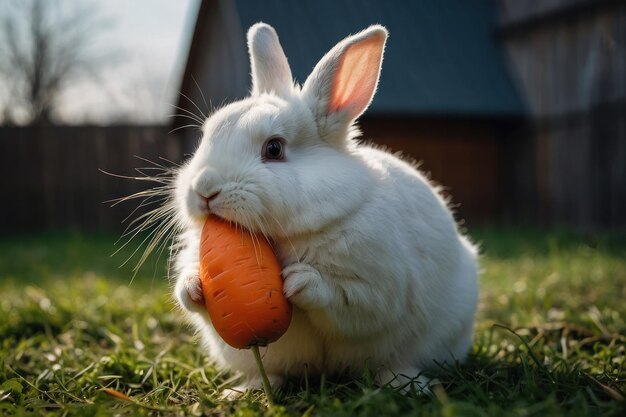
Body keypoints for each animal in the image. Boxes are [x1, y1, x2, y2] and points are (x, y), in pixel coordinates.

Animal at [172, 22, 478, 394]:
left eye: (274, 149)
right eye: (207, 136)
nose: (204, 189)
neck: (282, 240)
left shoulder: (378, 286)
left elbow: (348, 301)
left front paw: (300, 280)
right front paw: (192, 286)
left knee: (393, 365)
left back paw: (408, 385)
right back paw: (244, 391)